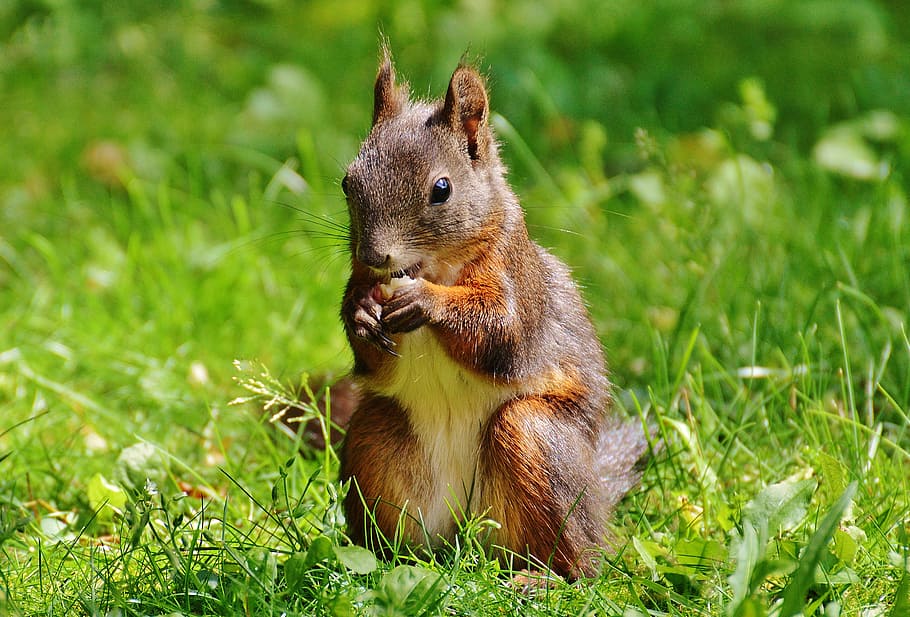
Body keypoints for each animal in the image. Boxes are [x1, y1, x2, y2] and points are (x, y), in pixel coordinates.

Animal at [337, 49, 651, 579]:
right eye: (346, 182)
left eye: (442, 188)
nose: (375, 255)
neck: (434, 267)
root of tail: (464, 537)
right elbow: (371, 355)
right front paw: (360, 312)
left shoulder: (517, 279)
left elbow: (502, 332)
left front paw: (427, 301)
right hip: (374, 438)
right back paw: (385, 560)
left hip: (536, 441)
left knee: (582, 564)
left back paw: (545, 579)